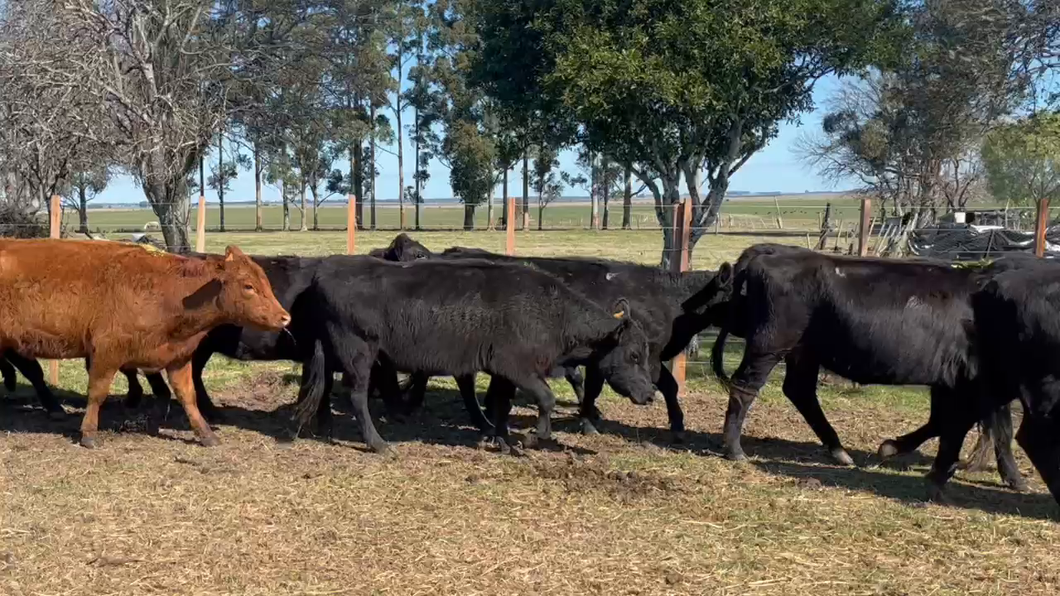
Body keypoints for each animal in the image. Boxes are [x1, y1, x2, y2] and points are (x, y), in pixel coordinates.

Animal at [0, 236, 288, 445]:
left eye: (266, 282)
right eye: (248, 286)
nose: (285, 318)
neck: (166, 291)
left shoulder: (178, 356)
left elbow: (187, 395)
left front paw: (205, 434)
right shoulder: (107, 352)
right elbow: (97, 393)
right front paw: (89, 434)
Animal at [288, 256, 652, 449]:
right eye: (634, 355)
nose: (649, 395)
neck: (551, 311)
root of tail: (326, 270)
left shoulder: (504, 373)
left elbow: (503, 404)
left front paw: (501, 438)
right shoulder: (517, 367)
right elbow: (546, 399)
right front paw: (533, 438)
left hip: (332, 353)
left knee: (321, 385)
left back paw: (323, 427)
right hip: (359, 353)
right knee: (357, 397)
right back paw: (377, 444)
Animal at [712, 241, 1026, 492]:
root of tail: (771, 251)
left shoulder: (954, 381)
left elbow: (948, 421)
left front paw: (894, 447)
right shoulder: (984, 381)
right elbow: (998, 429)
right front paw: (1016, 478)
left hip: (803, 351)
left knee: (799, 391)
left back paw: (838, 450)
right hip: (770, 344)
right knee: (745, 387)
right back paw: (735, 450)